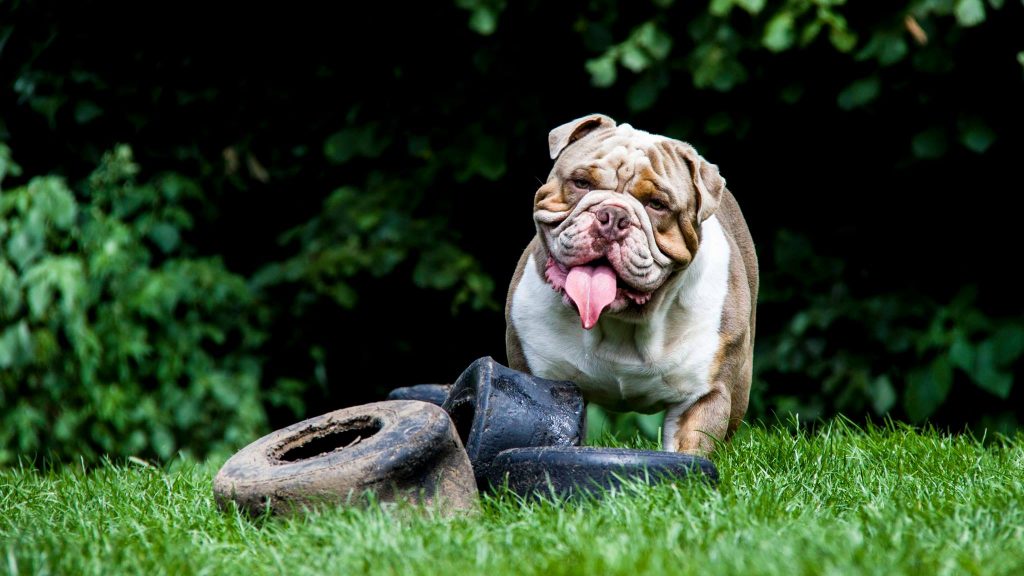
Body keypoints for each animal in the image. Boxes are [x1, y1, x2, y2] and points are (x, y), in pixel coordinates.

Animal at [505, 113, 757, 453]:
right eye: (581, 183)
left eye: (657, 204)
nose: (612, 216)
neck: (622, 322)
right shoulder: (538, 376)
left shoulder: (703, 396)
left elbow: (691, 448)